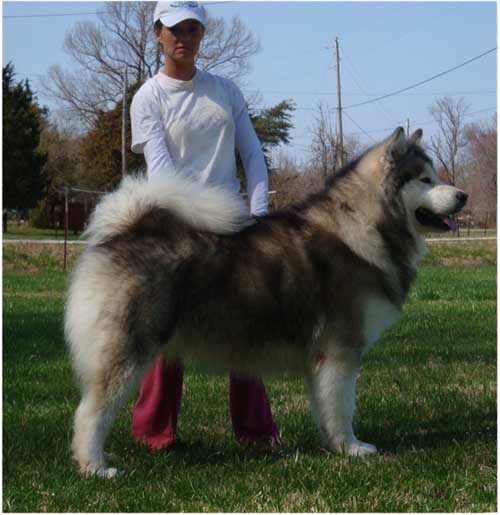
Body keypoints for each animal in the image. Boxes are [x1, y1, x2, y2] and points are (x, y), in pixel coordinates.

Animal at [66, 128, 468, 476]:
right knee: (91, 412)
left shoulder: (320, 361)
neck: (366, 225)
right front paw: (351, 448)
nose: (463, 195)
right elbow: (343, 407)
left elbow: (325, 406)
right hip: (127, 352)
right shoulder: (340, 352)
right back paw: (96, 467)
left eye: (436, 176)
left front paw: (331, 445)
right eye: (425, 180)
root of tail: (124, 230)